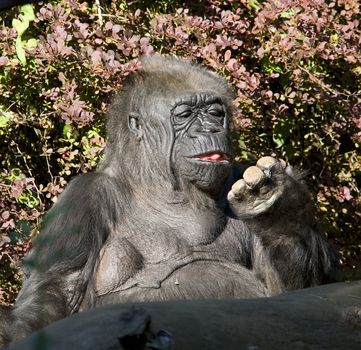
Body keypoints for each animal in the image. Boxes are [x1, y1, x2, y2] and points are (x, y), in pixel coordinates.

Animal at [0, 56, 334, 346]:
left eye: (215, 113)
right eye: (184, 115)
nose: (209, 129)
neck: (163, 185)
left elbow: (297, 296)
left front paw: (280, 211)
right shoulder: (82, 198)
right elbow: (55, 296)